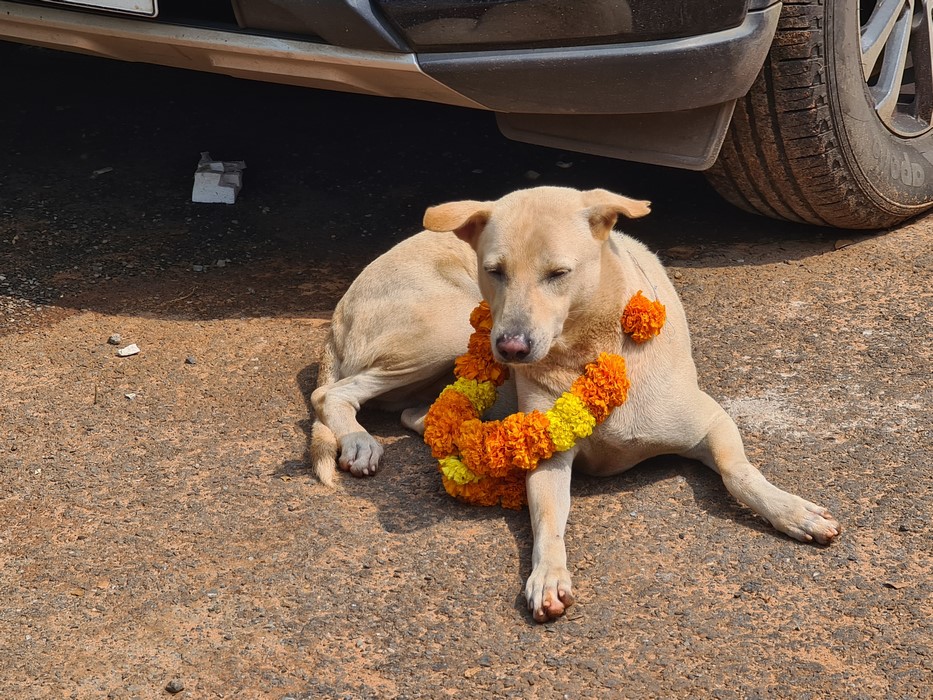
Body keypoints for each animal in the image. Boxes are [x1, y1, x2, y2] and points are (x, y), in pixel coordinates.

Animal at [312, 186, 836, 624]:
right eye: (495, 271)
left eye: (559, 274)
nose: (512, 348)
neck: (585, 348)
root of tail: (338, 310)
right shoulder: (549, 460)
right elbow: (548, 524)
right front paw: (547, 576)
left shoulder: (711, 421)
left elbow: (738, 473)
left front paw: (790, 510)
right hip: (447, 329)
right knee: (331, 394)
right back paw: (358, 441)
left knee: (413, 411)